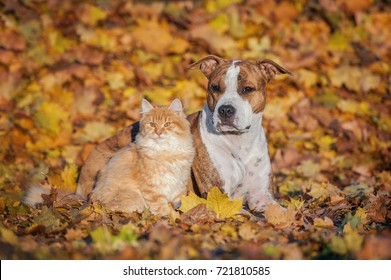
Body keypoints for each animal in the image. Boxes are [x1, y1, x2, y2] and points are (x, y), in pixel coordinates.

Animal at [23, 98, 195, 217]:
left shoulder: (179, 183)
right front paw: (167, 217)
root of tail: (86, 198)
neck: (167, 152)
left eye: (167, 125)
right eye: (152, 125)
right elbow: (160, 206)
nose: (159, 132)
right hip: (134, 198)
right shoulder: (153, 188)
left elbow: (179, 201)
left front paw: (178, 213)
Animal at [76, 55, 290, 212]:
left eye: (247, 89)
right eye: (215, 87)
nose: (226, 110)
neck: (239, 143)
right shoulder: (219, 194)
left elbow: (277, 211)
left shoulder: (261, 195)